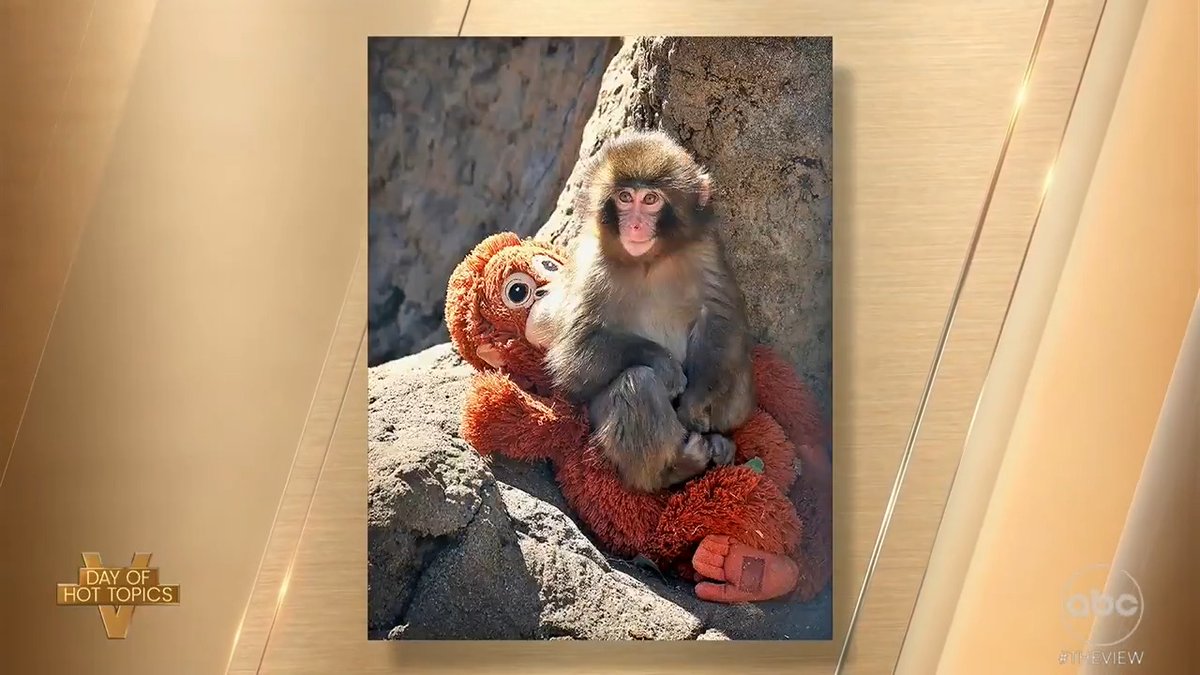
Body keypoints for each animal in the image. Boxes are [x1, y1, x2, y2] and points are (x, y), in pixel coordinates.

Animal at [544, 130, 756, 493]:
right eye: (625, 197)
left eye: (650, 200)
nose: (634, 226)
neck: (649, 261)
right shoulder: (591, 263)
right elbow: (574, 353)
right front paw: (665, 366)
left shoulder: (705, 250)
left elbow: (719, 318)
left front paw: (696, 401)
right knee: (638, 383)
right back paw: (676, 468)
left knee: (733, 366)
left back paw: (719, 440)